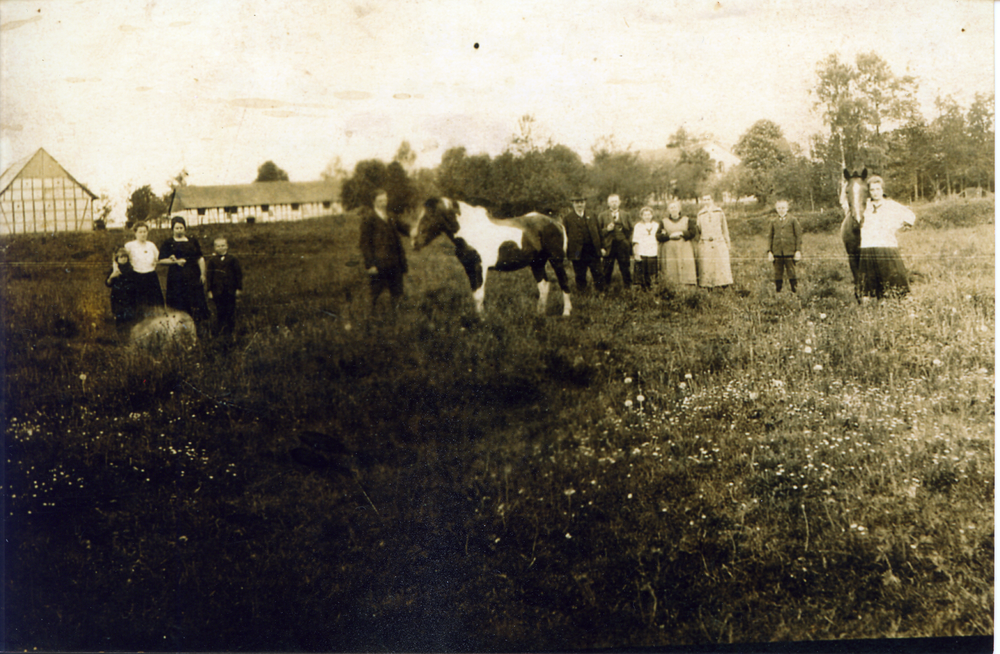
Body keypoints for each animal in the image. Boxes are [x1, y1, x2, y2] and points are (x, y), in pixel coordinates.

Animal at [410, 200, 576, 318]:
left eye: (429, 216)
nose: (414, 242)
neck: (472, 229)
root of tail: (556, 222)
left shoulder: (479, 267)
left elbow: (479, 294)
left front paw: (482, 320)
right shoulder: (469, 268)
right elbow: (475, 294)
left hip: (556, 260)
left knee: (563, 282)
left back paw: (566, 312)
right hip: (537, 263)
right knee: (543, 286)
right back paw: (540, 313)